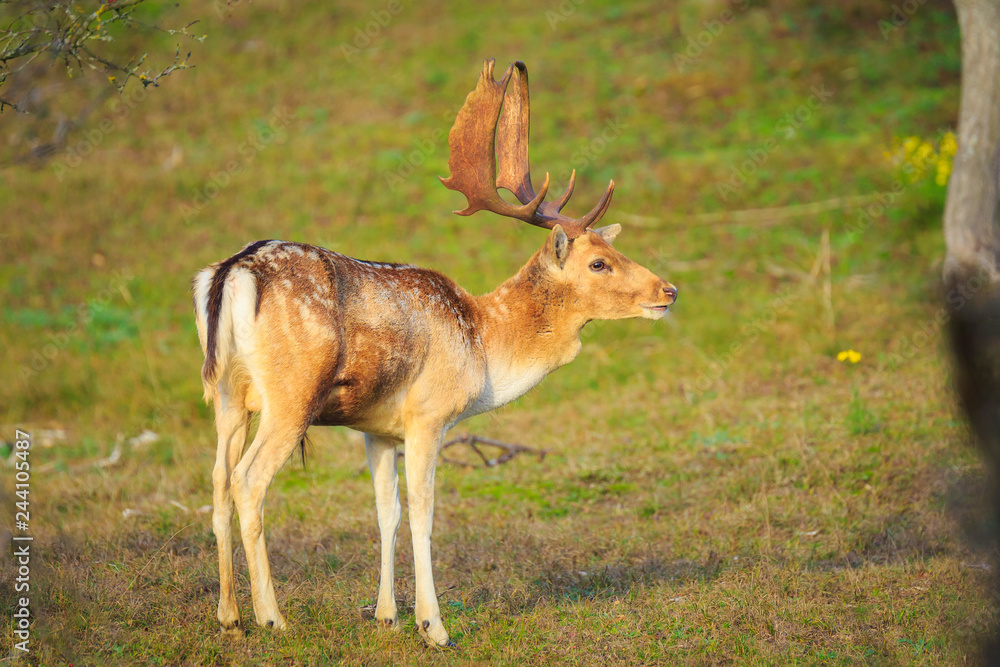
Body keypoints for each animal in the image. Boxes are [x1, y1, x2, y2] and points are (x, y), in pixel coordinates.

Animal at [192, 59, 677, 648]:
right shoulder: (428, 413)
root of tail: (231, 273)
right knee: (248, 480)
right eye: (599, 263)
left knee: (217, 480)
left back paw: (228, 616)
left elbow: (387, 511)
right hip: (292, 395)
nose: (669, 290)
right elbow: (424, 512)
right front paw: (433, 626)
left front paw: (386, 615)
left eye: (615, 250)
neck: (483, 345)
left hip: (225, 393)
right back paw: (271, 617)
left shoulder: (376, 428)